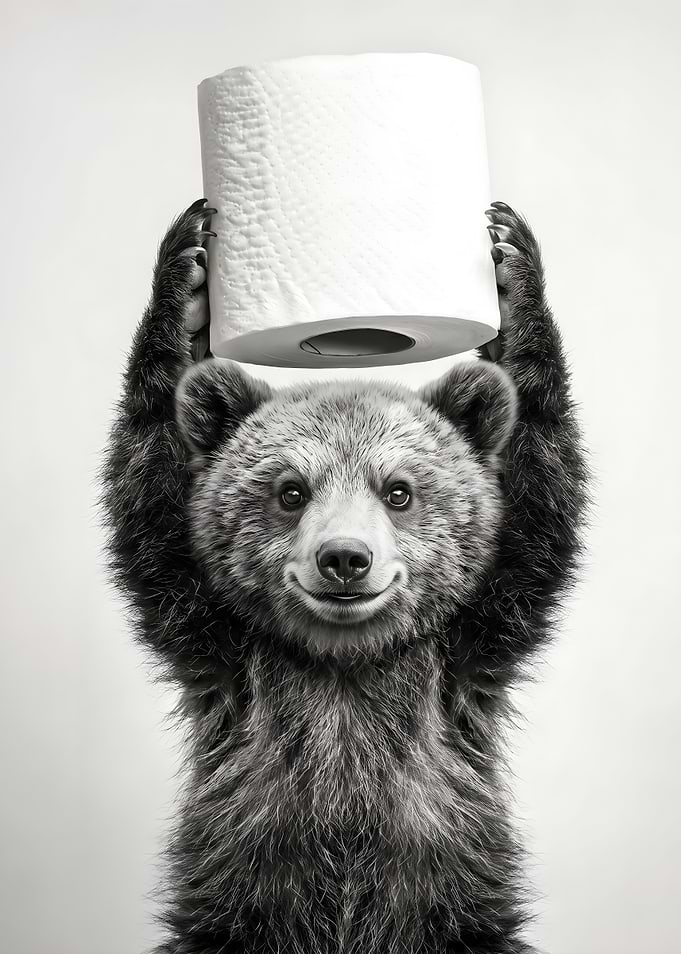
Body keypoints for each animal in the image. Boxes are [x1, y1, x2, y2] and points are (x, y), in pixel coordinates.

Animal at [102, 198, 587, 954]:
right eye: (290, 490)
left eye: (399, 491)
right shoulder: (226, 658)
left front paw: (512, 264)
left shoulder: (463, 660)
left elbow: (536, 510)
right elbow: (151, 512)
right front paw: (185, 278)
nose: (344, 558)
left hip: (463, 922)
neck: (345, 662)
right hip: (225, 924)